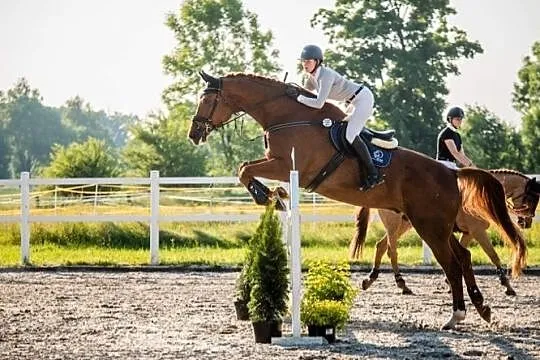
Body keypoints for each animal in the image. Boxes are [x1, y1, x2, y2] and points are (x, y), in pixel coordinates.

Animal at [350, 169, 536, 296]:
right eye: (531, 198)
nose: (526, 223)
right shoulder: (477, 231)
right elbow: (493, 255)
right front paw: (507, 286)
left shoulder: (468, 232)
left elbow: (462, 253)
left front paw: (449, 282)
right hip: (394, 225)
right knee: (391, 250)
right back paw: (401, 283)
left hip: (403, 225)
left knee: (381, 246)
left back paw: (371, 279)